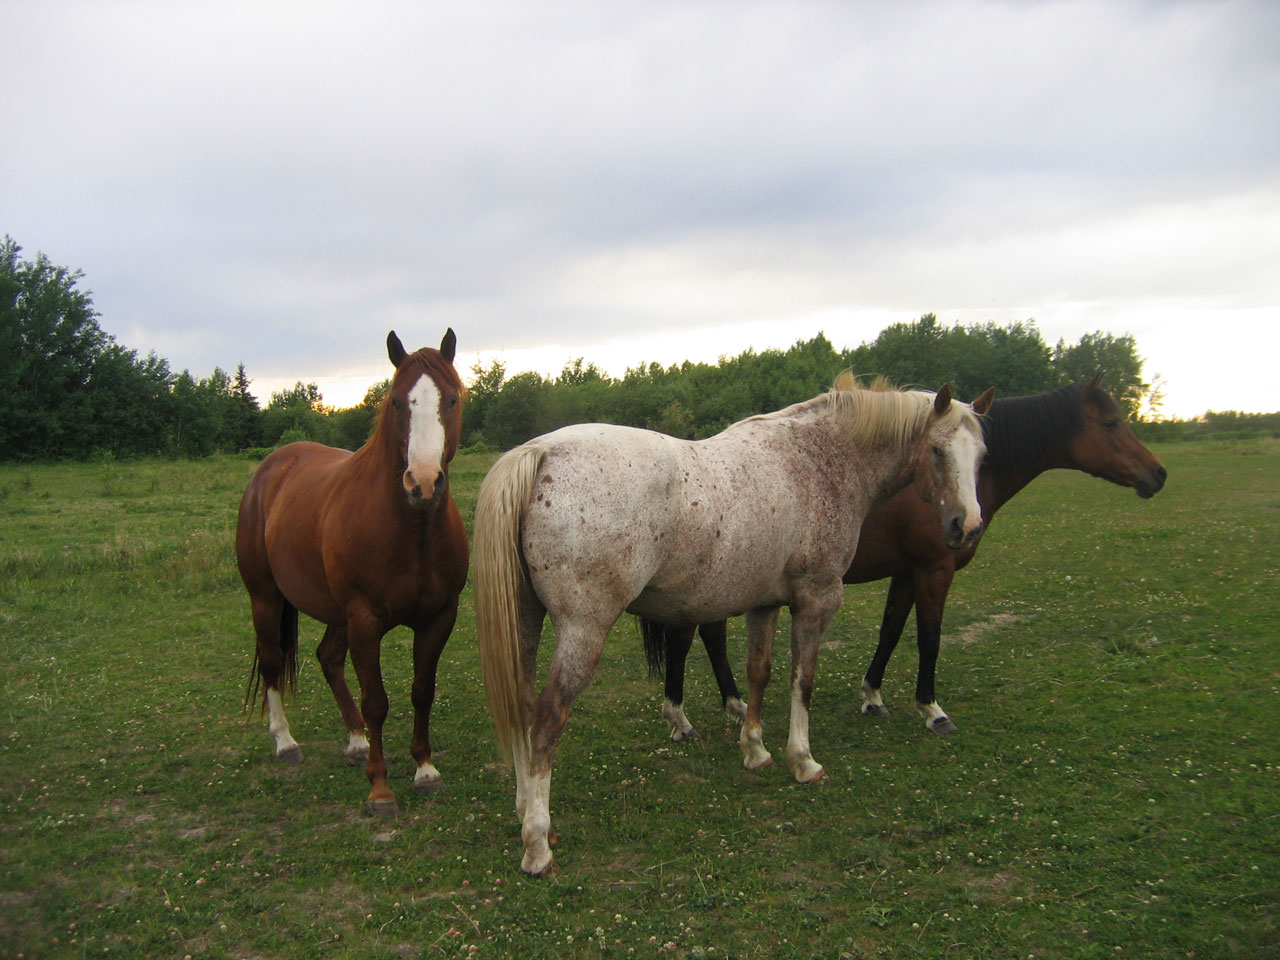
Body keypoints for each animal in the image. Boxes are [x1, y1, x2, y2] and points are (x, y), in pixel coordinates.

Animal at [238, 330, 468, 814]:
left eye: (452, 399)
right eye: (397, 401)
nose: (423, 483)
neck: (413, 529)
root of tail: (274, 465)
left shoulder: (438, 618)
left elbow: (422, 690)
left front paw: (425, 769)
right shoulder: (365, 620)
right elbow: (377, 700)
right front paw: (380, 789)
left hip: (336, 614)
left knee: (327, 658)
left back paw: (357, 741)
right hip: (266, 598)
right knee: (272, 662)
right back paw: (285, 742)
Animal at [476, 378, 993, 880]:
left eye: (982, 454)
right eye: (937, 451)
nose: (966, 527)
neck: (818, 461)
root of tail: (541, 452)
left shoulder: (764, 604)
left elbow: (759, 674)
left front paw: (755, 749)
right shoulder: (817, 600)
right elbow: (802, 681)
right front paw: (803, 760)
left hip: (527, 623)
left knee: (524, 710)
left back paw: (527, 811)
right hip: (584, 631)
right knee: (547, 721)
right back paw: (537, 845)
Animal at [645, 378, 1167, 742]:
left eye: (983, 455)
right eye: (1111, 423)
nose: (1158, 474)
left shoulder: (906, 573)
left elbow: (892, 631)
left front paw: (873, 696)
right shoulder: (934, 570)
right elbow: (928, 638)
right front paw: (932, 710)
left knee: (710, 636)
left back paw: (734, 705)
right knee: (687, 639)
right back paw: (683, 719)